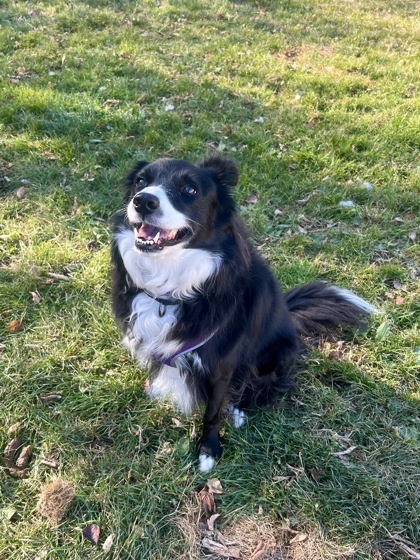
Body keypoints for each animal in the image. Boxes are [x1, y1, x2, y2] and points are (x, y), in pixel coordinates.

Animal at [111, 155, 374, 470]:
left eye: (189, 189)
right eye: (141, 181)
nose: (143, 201)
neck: (172, 289)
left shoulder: (222, 366)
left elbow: (213, 412)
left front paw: (208, 451)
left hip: (275, 356)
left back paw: (238, 410)